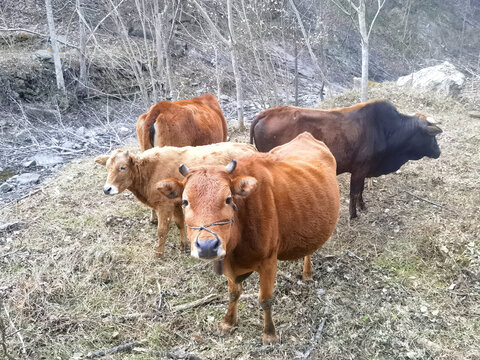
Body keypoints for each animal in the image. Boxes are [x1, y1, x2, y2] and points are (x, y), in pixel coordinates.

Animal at [95, 142, 256, 258]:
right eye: (107, 168)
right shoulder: (176, 203)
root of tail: (249, 146)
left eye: (122, 167)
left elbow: (162, 231)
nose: (107, 189)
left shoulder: (164, 206)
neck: (150, 172)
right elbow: (179, 223)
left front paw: (159, 254)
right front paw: (183, 245)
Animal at [158, 132, 338, 344]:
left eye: (228, 199)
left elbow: (265, 299)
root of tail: (305, 136)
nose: (207, 246)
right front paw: (228, 322)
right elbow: (233, 293)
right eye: (185, 201)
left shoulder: (269, 262)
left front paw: (270, 333)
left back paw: (307, 273)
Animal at [251, 101, 442, 219]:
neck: (386, 130)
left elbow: (361, 191)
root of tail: (266, 113)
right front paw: (353, 214)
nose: (438, 152)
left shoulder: (364, 170)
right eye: (432, 137)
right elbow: (354, 192)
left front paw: (363, 207)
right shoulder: (359, 170)